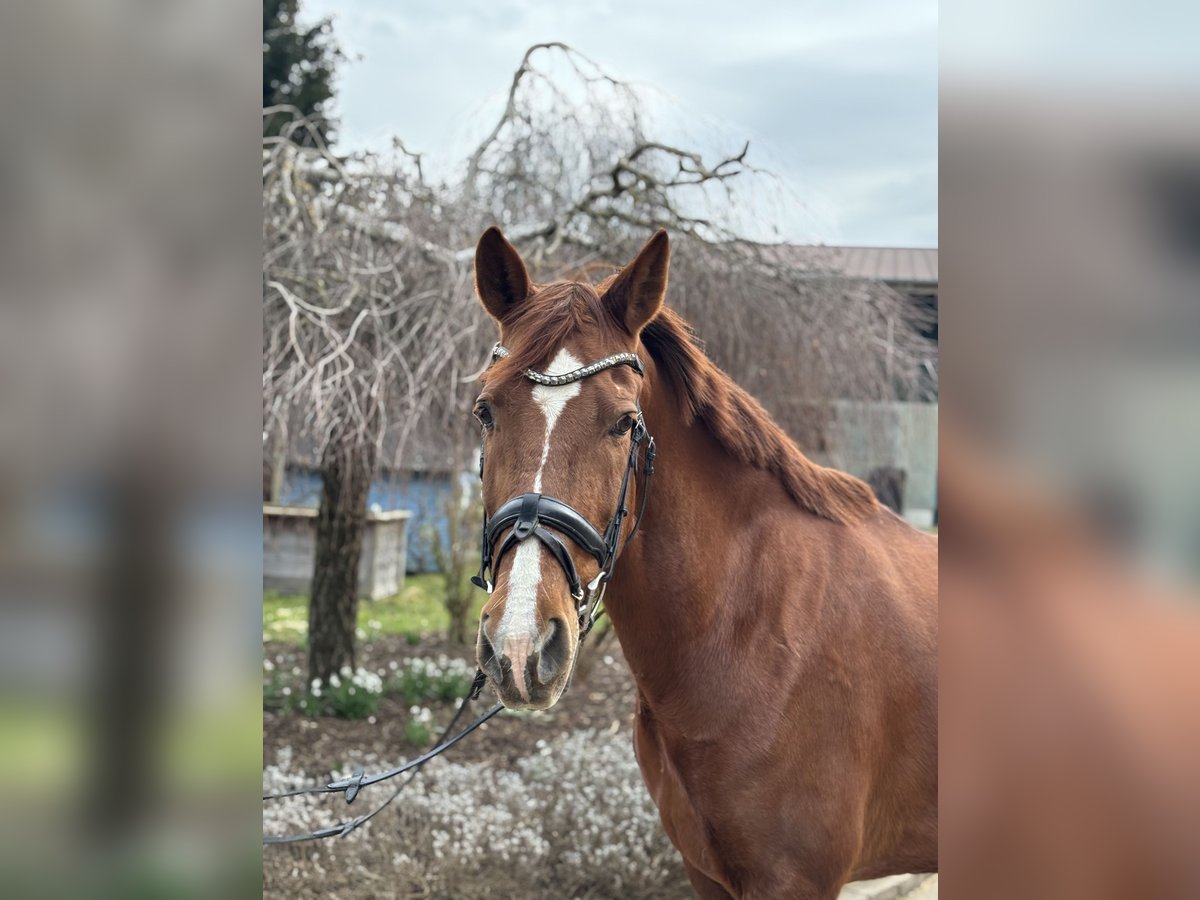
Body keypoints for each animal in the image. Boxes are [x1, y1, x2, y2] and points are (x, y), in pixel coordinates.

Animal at [468, 229, 936, 897]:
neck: (748, 624)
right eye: (485, 411)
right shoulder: (705, 871)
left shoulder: (794, 880)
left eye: (624, 423)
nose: (519, 645)